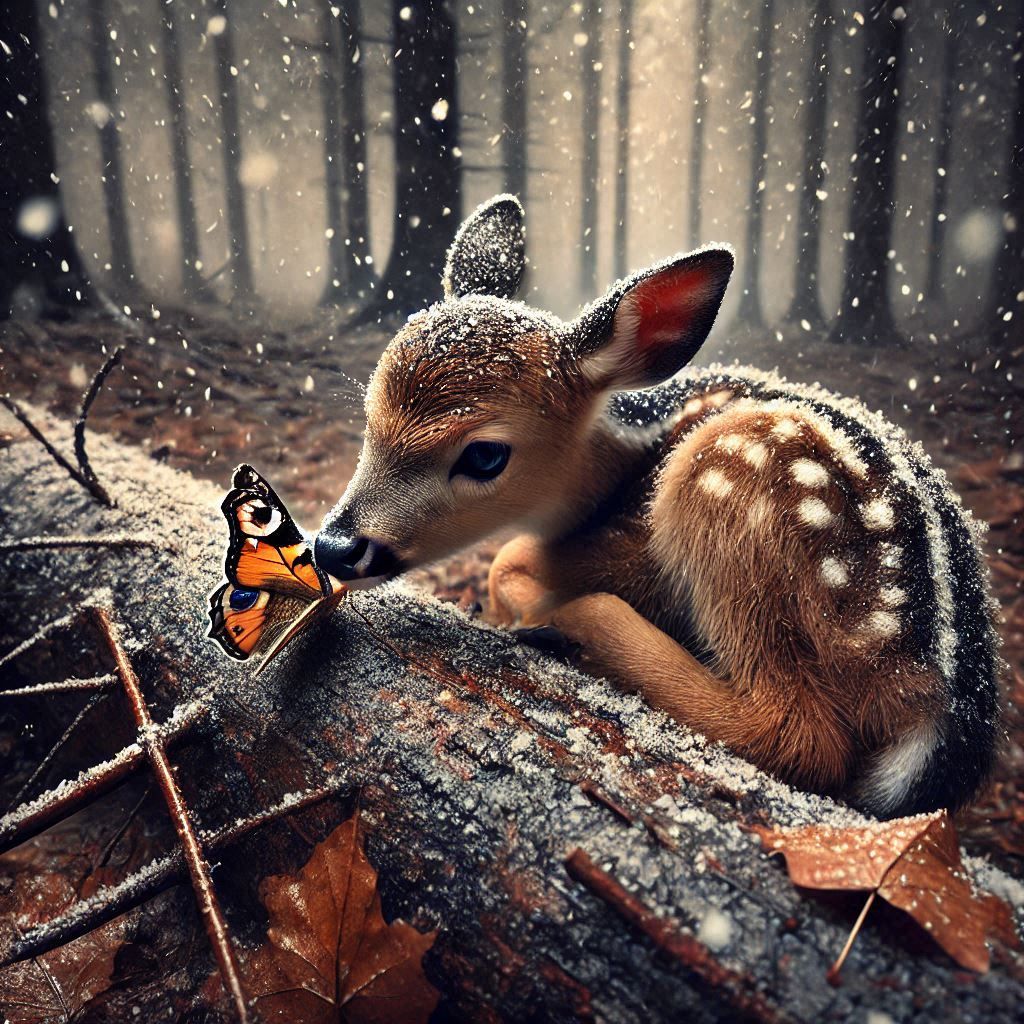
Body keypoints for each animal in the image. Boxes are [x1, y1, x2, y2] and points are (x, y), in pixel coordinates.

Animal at [313, 195, 1000, 819]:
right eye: (369, 417)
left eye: (485, 455)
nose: (336, 547)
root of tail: (934, 713)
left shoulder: (635, 549)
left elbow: (509, 557)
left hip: (728, 492)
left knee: (800, 734)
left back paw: (568, 626)